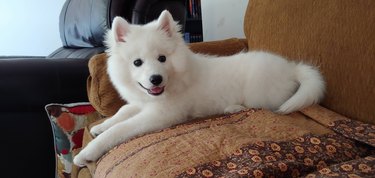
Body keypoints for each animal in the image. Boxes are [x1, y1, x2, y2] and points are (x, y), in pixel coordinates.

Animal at [74, 10, 326, 165]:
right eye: (137, 62)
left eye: (162, 58)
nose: (155, 79)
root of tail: (291, 68)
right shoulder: (141, 102)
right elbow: (121, 112)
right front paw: (100, 127)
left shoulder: (160, 115)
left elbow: (121, 129)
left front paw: (88, 152)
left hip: (258, 93)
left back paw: (234, 108)